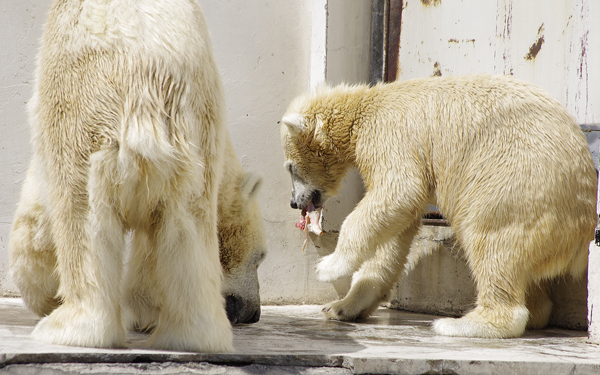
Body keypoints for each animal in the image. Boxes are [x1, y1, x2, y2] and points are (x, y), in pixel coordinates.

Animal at [8, 0, 268, 354]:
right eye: (261, 257)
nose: (255, 313)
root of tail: (150, 83)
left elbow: (38, 217)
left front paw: (44, 296)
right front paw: (146, 312)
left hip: (90, 113)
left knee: (81, 214)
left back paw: (69, 326)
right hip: (189, 137)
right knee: (187, 229)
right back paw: (191, 336)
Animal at [280, 75, 596, 340]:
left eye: (290, 167)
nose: (295, 202)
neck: (364, 107)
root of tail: (582, 228)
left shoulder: (390, 134)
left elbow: (398, 192)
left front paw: (329, 266)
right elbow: (395, 232)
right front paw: (341, 306)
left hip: (514, 186)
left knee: (491, 240)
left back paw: (463, 323)